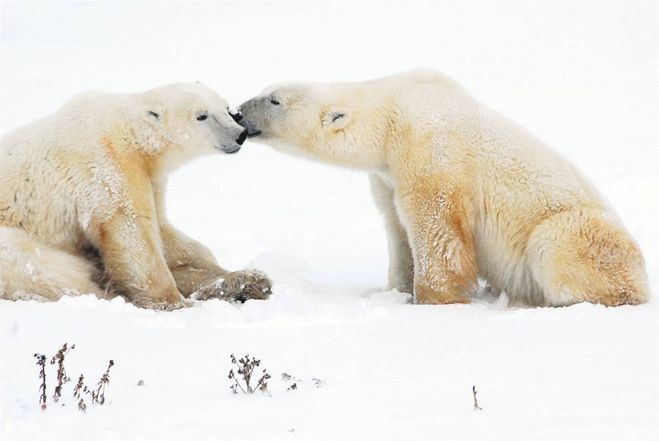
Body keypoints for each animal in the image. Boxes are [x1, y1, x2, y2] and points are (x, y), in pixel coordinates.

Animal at [0, 83, 272, 310]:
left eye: (226, 108)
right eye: (201, 116)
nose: (240, 134)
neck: (130, 135)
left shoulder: (151, 178)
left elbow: (162, 228)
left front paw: (232, 273)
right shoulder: (106, 165)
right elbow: (132, 231)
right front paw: (173, 301)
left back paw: (250, 282)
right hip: (14, 242)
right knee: (47, 269)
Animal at [237, 70, 648, 308]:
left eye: (274, 99)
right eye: (265, 90)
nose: (239, 113)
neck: (389, 117)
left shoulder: (429, 147)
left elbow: (434, 224)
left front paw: (436, 299)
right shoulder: (386, 175)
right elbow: (397, 226)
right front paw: (396, 290)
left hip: (585, 236)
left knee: (556, 245)